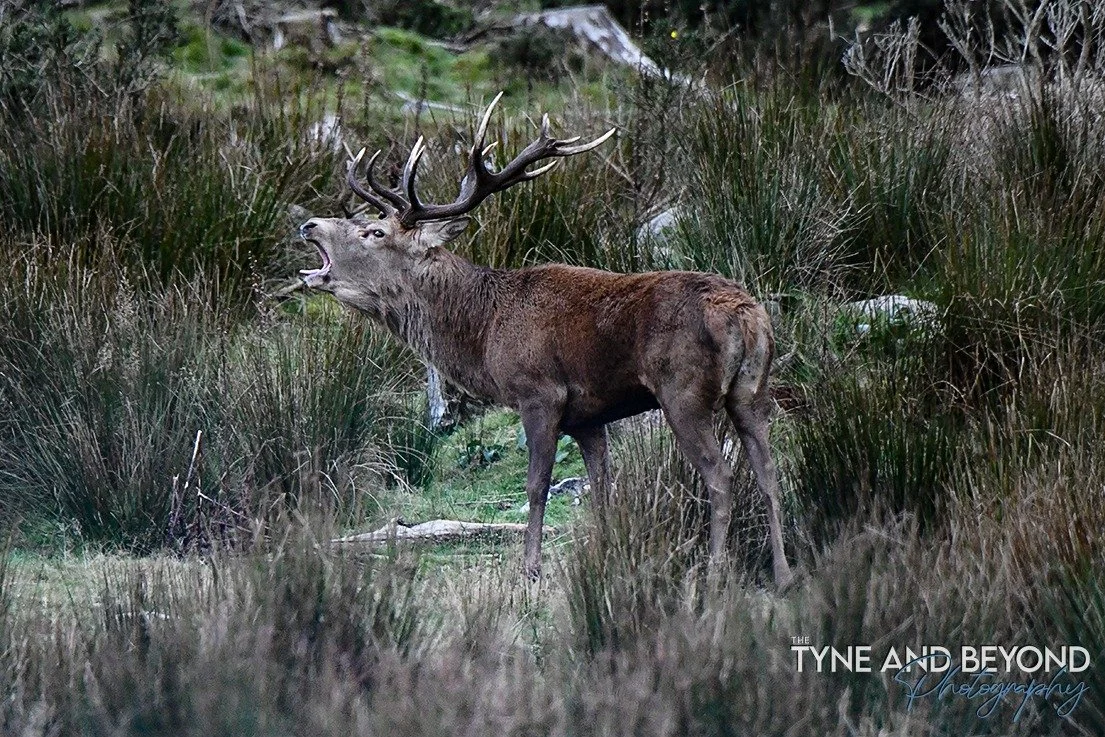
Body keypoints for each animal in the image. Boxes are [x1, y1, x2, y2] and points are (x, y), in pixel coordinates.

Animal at [297, 93, 794, 587]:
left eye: (374, 232)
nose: (310, 224)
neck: (485, 331)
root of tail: (747, 316)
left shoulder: (539, 393)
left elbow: (537, 485)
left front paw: (530, 568)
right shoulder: (589, 416)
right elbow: (602, 487)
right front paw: (605, 557)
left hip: (684, 391)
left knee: (721, 477)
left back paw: (713, 573)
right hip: (752, 391)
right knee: (770, 473)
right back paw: (784, 573)